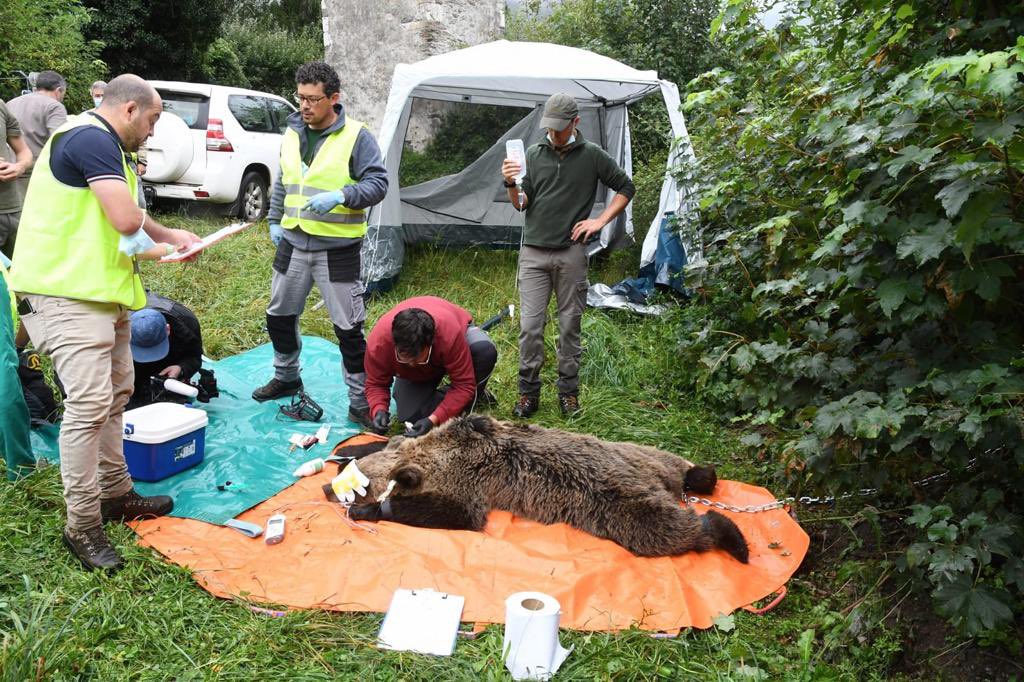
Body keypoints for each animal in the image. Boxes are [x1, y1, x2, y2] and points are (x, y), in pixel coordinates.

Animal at [340, 415, 749, 563]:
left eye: (366, 488)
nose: (331, 493)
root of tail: (661, 485)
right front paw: (350, 451)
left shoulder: (467, 482)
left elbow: (457, 515)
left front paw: (368, 509)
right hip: (641, 455)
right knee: (676, 463)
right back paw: (702, 475)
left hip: (625, 504)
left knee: (668, 529)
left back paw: (731, 537)